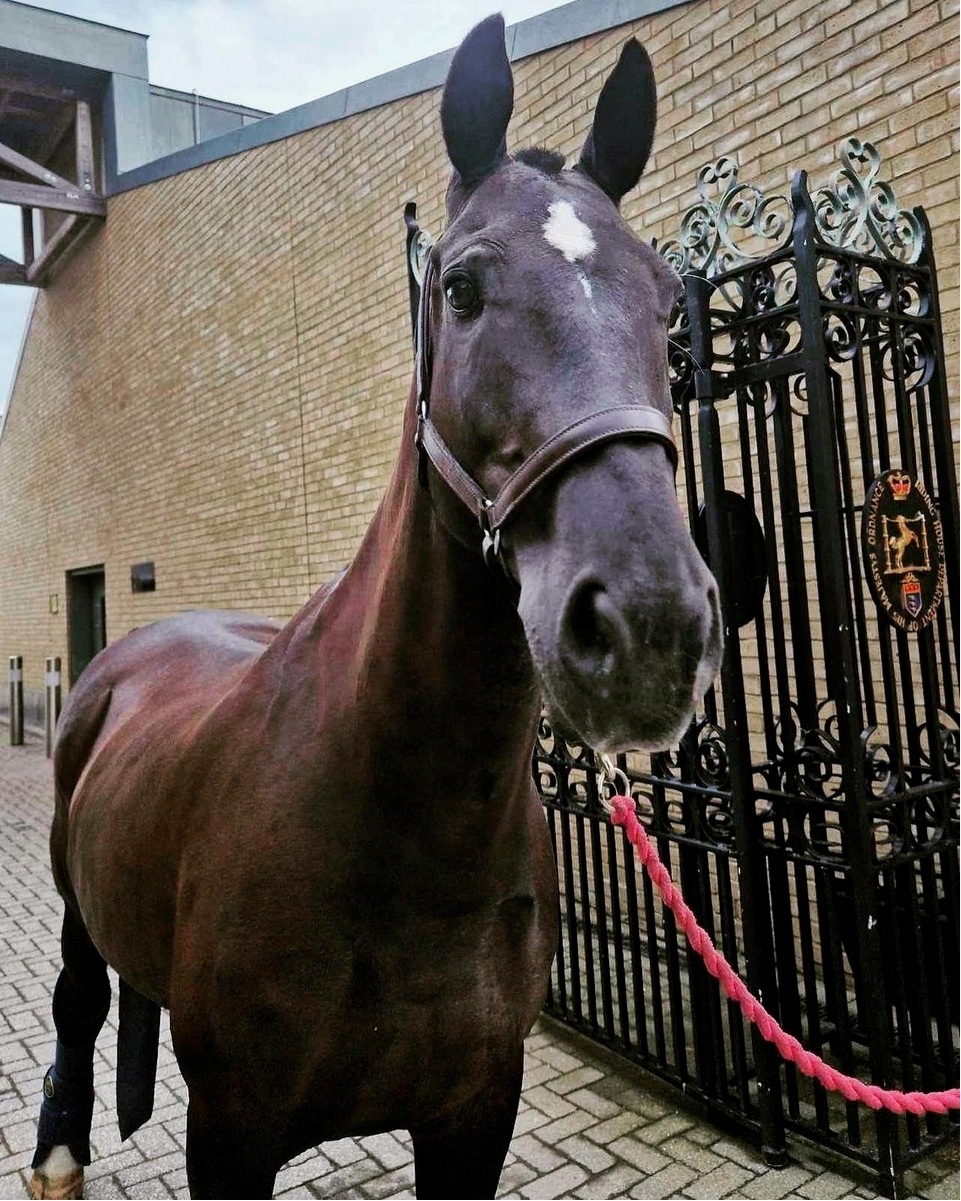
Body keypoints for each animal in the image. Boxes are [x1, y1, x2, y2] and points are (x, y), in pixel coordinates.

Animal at [29, 14, 721, 1199]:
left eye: (671, 302)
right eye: (462, 289)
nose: (647, 627)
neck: (396, 823)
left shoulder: (474, 1115)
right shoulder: (231, 1131)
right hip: (75, 903)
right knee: (78, 998)